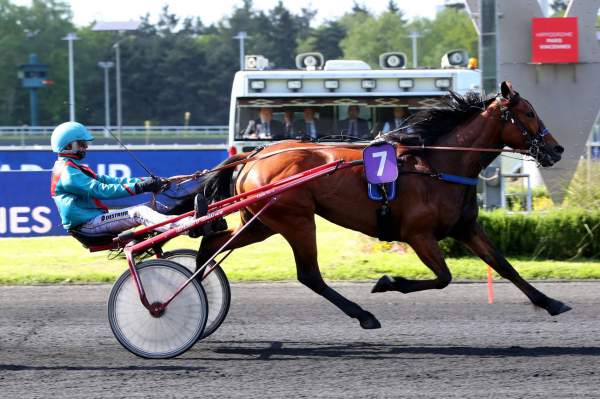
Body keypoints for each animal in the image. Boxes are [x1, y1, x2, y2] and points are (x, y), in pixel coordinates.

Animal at [195, 80, 568, 328]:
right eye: (529, 113)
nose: (556, 148)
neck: (438, 165)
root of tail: (254, 156)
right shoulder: (418, 234)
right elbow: (443, 277)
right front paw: (388, 281)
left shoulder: (464, 227)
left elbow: (503, 265)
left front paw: (551, 302)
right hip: (296, 220)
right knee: (310, 275)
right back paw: (364, 315)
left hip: (261, 222)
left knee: (212, 244)